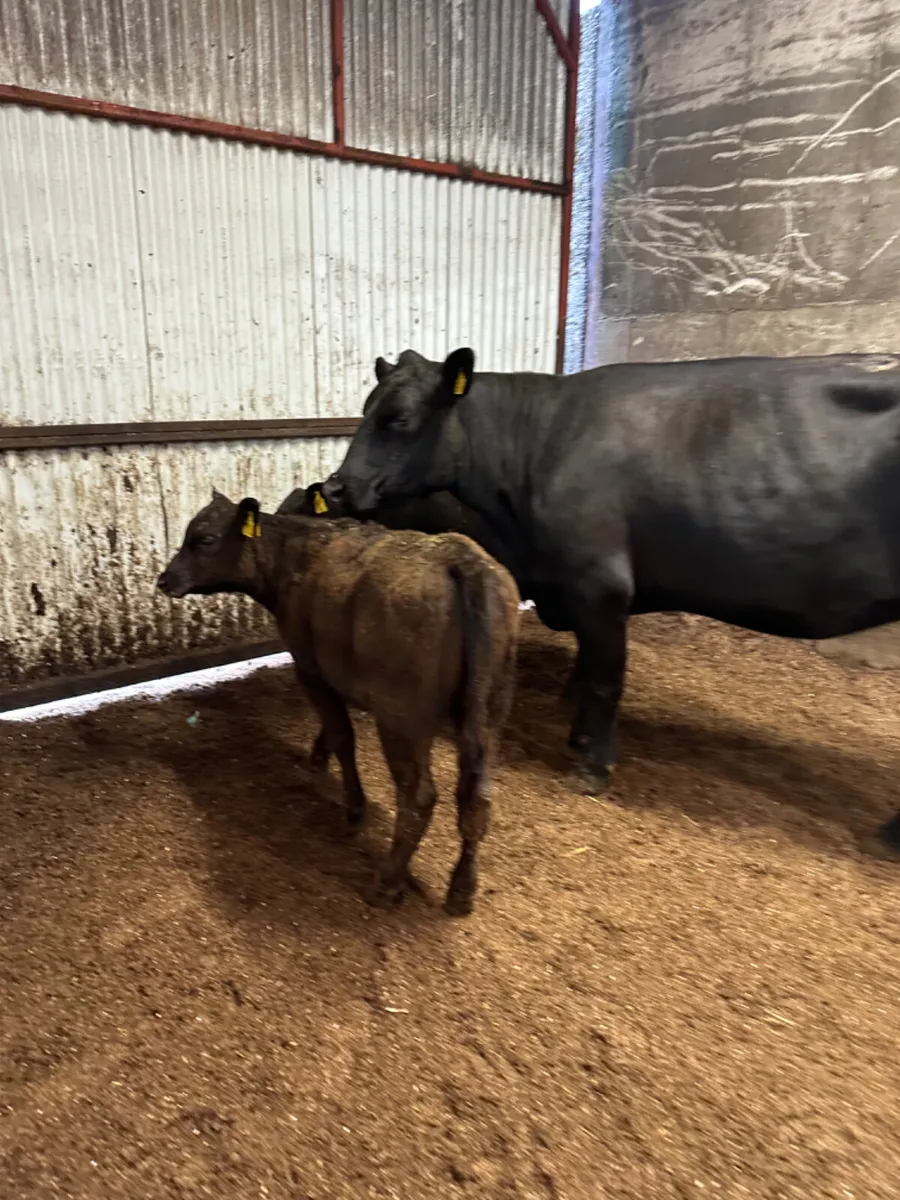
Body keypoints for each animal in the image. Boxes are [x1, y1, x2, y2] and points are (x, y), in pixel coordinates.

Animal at [157, 490, 520, 914]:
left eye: (205, 540)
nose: (164, 580)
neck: (296, 556)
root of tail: (462, 558)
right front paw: (318, 756)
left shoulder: (310, 669)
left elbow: (343, 736)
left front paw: (353, 808)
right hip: (489, 713)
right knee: (477, 798)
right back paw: (462, 890)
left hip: (402, 718)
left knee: (419, 797)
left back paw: (388, 882)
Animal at [321, 347, 900, 853]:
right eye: (367, 409)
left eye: (399, 418)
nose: (337, 487)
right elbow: (588, 666)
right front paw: (578, 736)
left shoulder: (599, 582)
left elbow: (604, 676)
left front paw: (592, 766)